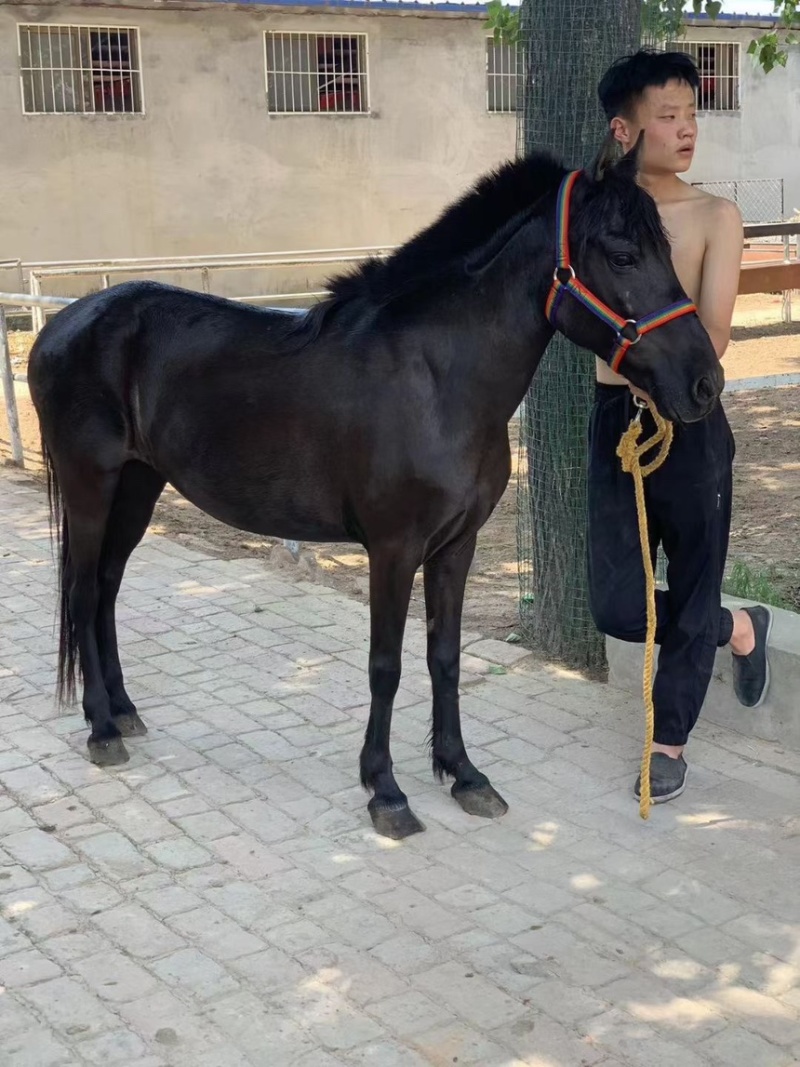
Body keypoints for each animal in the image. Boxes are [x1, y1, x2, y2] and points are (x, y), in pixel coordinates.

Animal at [28, 145, 723, 840]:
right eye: (623, 254)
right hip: (91, 486)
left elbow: (445, 656)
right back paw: (101, 728)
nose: (705, 382)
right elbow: (385, 666)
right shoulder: (393, 549)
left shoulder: (456, 547)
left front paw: (464, 775)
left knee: (107, 588)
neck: (436, 380)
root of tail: (65, 323)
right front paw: (385, 791)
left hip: (138, 486)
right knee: (83, 590)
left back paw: (124, 710)